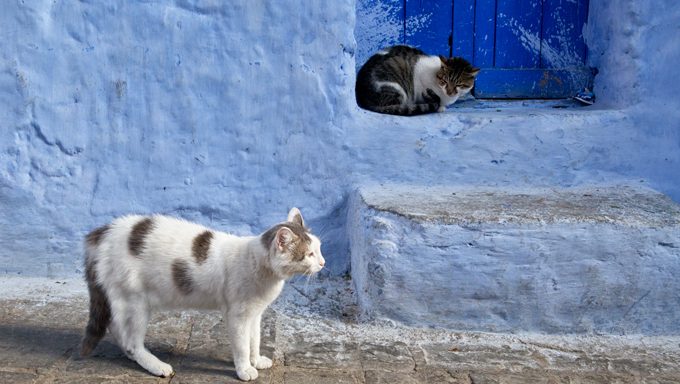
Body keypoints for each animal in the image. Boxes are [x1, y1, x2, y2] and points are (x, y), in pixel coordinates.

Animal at [79, 208, 324, 382]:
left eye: (319, 248)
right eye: (308, 254)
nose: (323, 262)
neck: (259, 265)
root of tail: (103, 233)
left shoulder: (255, 314)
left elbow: (254, 340)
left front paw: (256, 360)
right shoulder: (238, 315)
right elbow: (242, 345)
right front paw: (245, 369)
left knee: (116, 327)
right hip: (136, 301)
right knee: (130, 340)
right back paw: (156, 365)